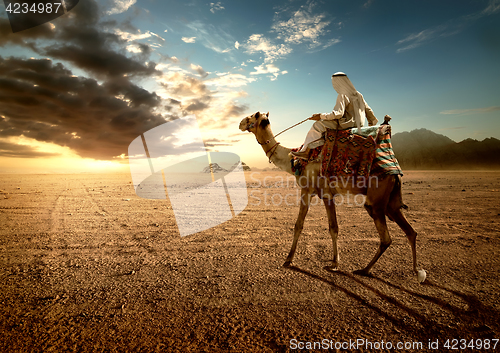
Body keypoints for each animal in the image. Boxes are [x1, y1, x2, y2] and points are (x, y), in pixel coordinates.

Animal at [239, 111, 418, 276]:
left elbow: (307, 226)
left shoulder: (312, 191)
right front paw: (333, 261)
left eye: (251, 117)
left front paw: (291, 259)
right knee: (410, 231)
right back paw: (415, 271)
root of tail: (395, 169)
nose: (240, 123)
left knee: (386, 237)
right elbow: (325, 227)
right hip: (391, 201)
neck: (294, 161)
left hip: (377, 198)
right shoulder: (323, 194)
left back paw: (365, 270)